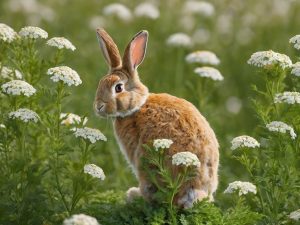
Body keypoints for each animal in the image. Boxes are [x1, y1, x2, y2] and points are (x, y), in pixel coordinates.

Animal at [95, 28, 219, 209]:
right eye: (100, 83)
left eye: (118, 88)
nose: (98, 106)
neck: (137, 105)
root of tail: (191, 191)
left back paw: (134, 195)